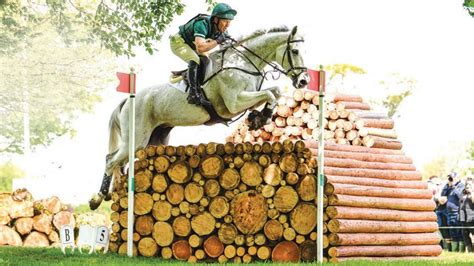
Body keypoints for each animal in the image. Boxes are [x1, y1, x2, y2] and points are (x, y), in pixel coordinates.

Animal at [89, 25, 310, 210]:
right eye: (295, 51)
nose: (303, 81)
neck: (243, 63)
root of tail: (127, 101)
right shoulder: (233, 103)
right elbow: (271, 94)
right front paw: (261, 117)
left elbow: (275, 91)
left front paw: (259, 117)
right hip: (136, 140)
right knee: (110, 160)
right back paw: (97, 198)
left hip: (155, 139)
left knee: (120, 164)